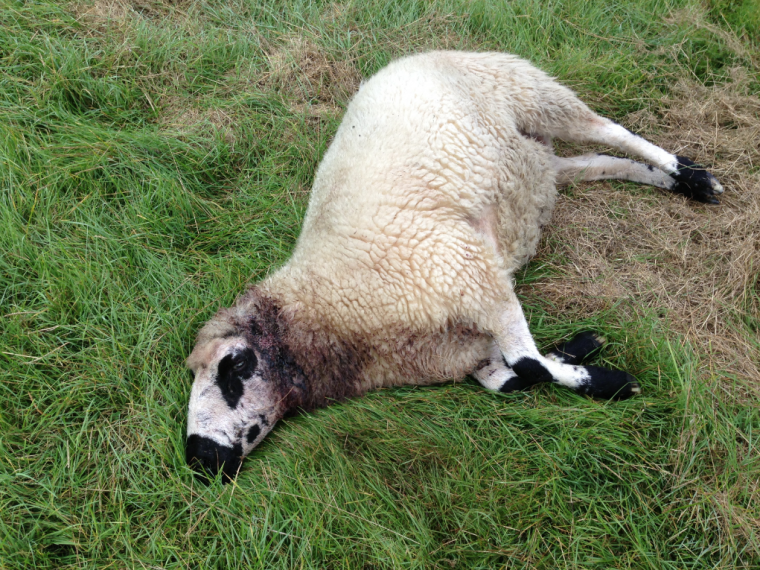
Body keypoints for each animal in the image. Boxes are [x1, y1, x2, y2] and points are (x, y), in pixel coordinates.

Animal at [184, 51, 724, 482]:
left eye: (232, 369)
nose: (199, 459)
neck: (340, 304)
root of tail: (412, 56)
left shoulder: (468, 272)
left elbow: (528, 365)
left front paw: (612, 382)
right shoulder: (466, 339)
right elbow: (513, 377)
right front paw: (581, 350)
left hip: (529, 91)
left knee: (612, 131)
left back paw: (693, 175)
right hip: (536, 164)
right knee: (602, 161)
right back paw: (677, 182)